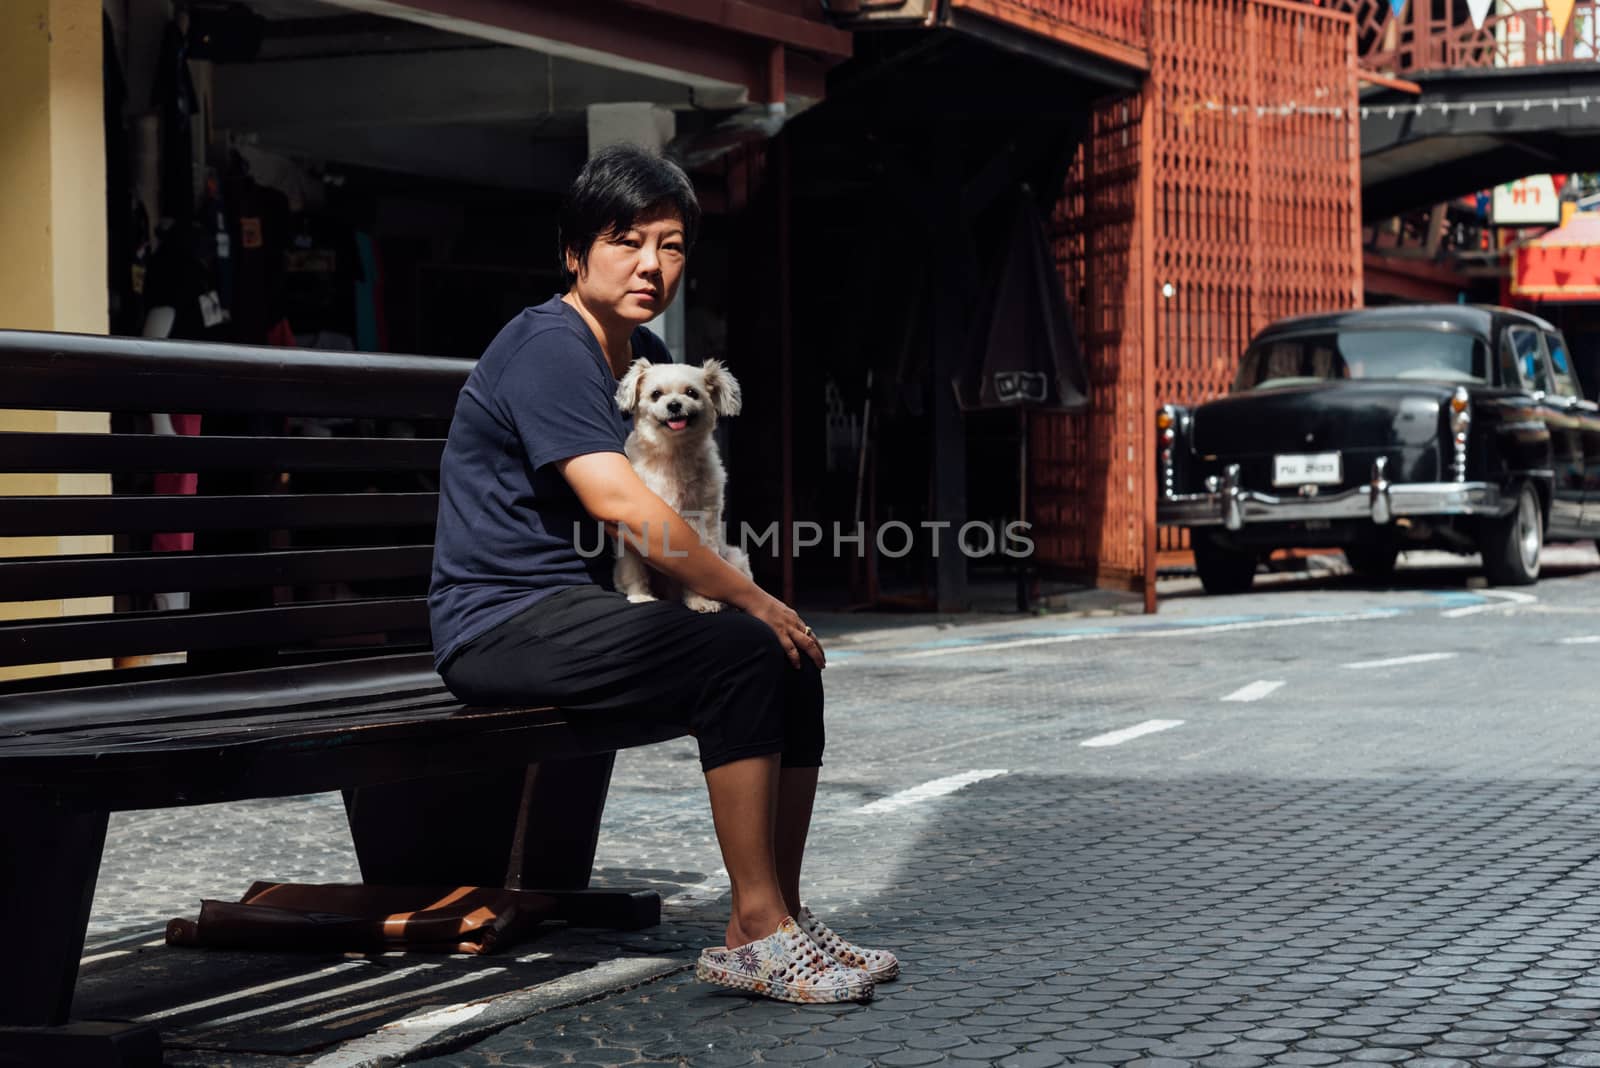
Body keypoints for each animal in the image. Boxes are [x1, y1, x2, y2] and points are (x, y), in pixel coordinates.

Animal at [611, 356, 748, 613]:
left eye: (691, 393)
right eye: (656, 394)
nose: (674, 405)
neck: (672, 453)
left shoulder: (703, 519)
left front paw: (701, 601)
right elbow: (635, 567)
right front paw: (640, 596)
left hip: (735, 558)